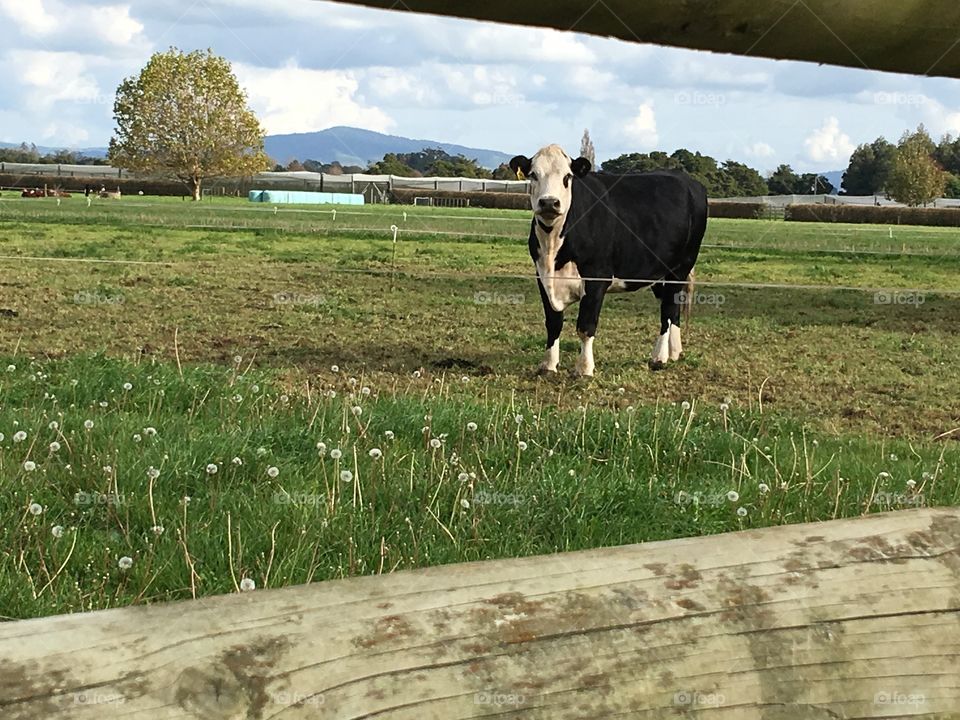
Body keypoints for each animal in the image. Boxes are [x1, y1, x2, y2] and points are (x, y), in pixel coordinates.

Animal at [509, 144, 708, 377]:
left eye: (567, 176)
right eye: (533, 175)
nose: (549, 202)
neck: (553, 246)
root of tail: (685, 178)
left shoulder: (597, 277)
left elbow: (585, 326)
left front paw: (584, 368)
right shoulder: (542, 276)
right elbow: (553, 323)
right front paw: (548, 365)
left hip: (681, 266)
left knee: (667, 310)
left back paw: (658, 357)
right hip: (658, 271)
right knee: (673, 307)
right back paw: (674, 352)